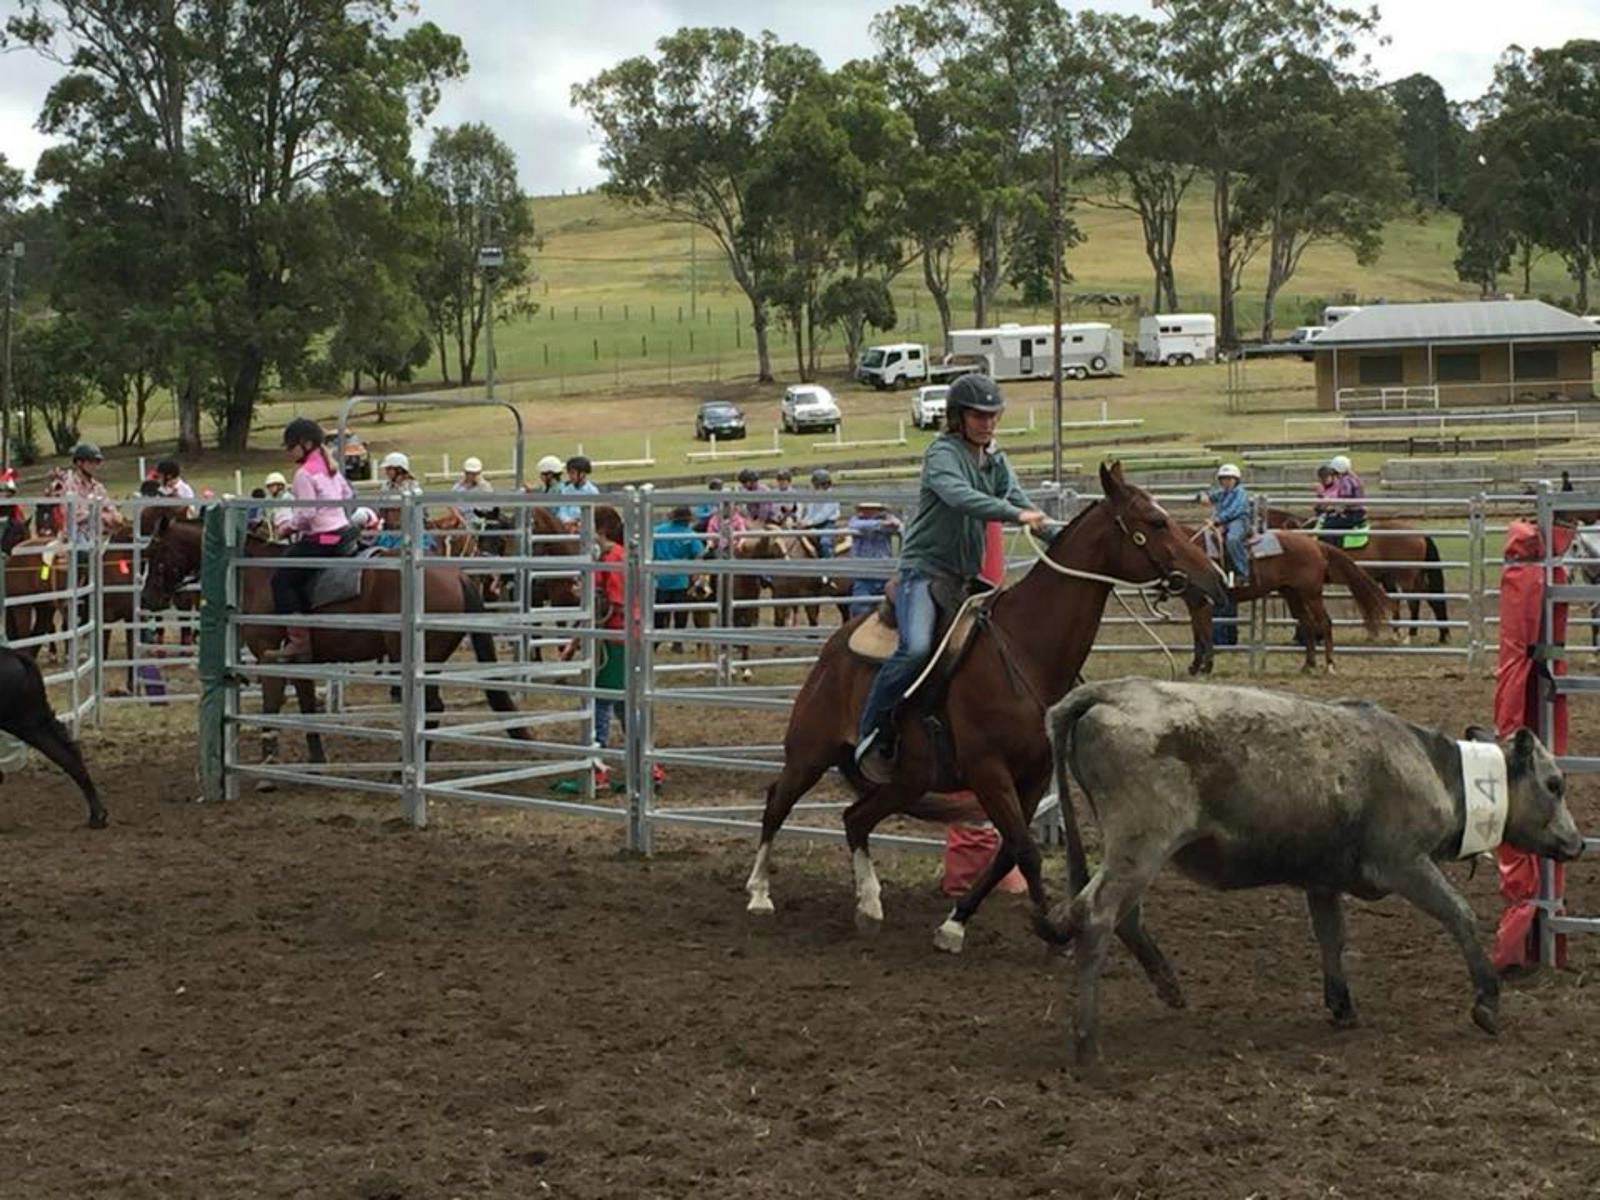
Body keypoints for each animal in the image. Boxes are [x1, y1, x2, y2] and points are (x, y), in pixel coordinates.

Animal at [140, 515, 528, 780]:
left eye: (154, 552)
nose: (148, 600)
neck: (256, 572)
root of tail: (457, 576)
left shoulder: (269, 654)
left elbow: (271, 705)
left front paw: (268, 763)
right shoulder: (300, 663)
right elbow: (307, 708)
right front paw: (316, 763)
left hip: (418, 658)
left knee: (432, 709)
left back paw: (403, 771)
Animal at [739, 464, 1222, 960]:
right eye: (1156, 521)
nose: (1215, 579)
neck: (1026, 648)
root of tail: (833, 648)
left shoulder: (1033, 774)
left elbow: (1009, 850)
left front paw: (957, 923)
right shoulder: (988, 770)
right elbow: (1025, 849)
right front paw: (1050, 931)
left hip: (911, 779)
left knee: (855, 819)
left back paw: (870, 905)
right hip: (810, 753)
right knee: (777, 802)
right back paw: (760, 894)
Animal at [1043, 678, 1580, 1068]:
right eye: (1554, 784)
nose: (1575, 844)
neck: (1435, 768)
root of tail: (1108, 692)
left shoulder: (1322, 880)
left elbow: (1331, 937)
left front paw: (1341, 1005)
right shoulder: (1404, 863)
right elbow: (1460, 915)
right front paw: (1488, 1001)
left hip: (1134, 851)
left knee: (1119, 916)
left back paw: (1168, 986)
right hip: (1141, 844)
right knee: (1096, 913)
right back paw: (1087, 1041)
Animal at [1184, 524, 1395, 678]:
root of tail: (1316, 545)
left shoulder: (1201, 603)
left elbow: (1203, 634)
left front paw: (1204, 667)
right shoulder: (1193, 603)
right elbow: (1197, 633)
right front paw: (1195, 666)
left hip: (1311, 594)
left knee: (1324, 622)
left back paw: (1329, 665)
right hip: (1292, 593)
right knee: (1307, 623)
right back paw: (1308, 665)